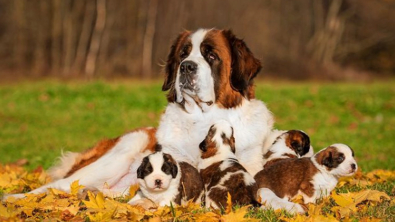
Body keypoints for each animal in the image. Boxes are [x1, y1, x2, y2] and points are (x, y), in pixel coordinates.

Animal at [3, 28, 274, 199]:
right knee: (57, 185)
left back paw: (92, 194)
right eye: (183, 54)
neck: (202, 119)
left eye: (211, 55)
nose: (186, 66)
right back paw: (15, 199)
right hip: (121, 151)